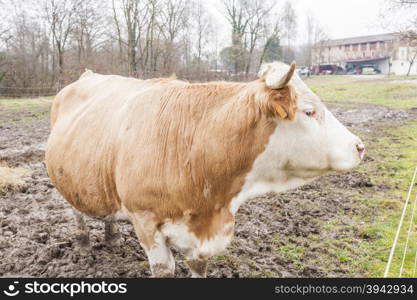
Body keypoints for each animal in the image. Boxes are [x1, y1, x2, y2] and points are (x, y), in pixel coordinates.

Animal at [46, 62, 364, 278]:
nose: (359, 146)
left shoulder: (202, 238)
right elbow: (164, 268)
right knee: (76, 212)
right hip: (67, 181)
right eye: (309, 111)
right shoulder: (145, 220)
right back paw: (84, 245)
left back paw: (112, 239)